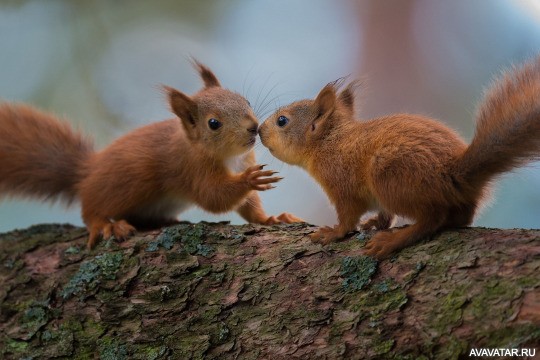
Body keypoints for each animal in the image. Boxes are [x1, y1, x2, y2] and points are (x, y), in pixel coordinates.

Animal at [0, 61, 304, 248]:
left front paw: (270, 219)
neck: (231, 156)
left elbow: (250, 207)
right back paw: (105, 224)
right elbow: (213, 197)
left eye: (245, 101)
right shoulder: (193, 169)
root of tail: (86, 173)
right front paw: (249, 180)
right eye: (213, 123)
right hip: (121, 186)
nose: (253, 128)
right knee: (90, 210)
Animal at [258, 56, 540, 258]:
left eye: (282, 121)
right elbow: (384, 216)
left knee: (432, 218)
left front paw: (333, 233)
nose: (259, 130)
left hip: (390, 176)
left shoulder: (342, 184)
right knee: (459, 218)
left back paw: (394, 240)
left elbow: (348, 216)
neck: (331, 143)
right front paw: (375, 222)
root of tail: (454, 173)